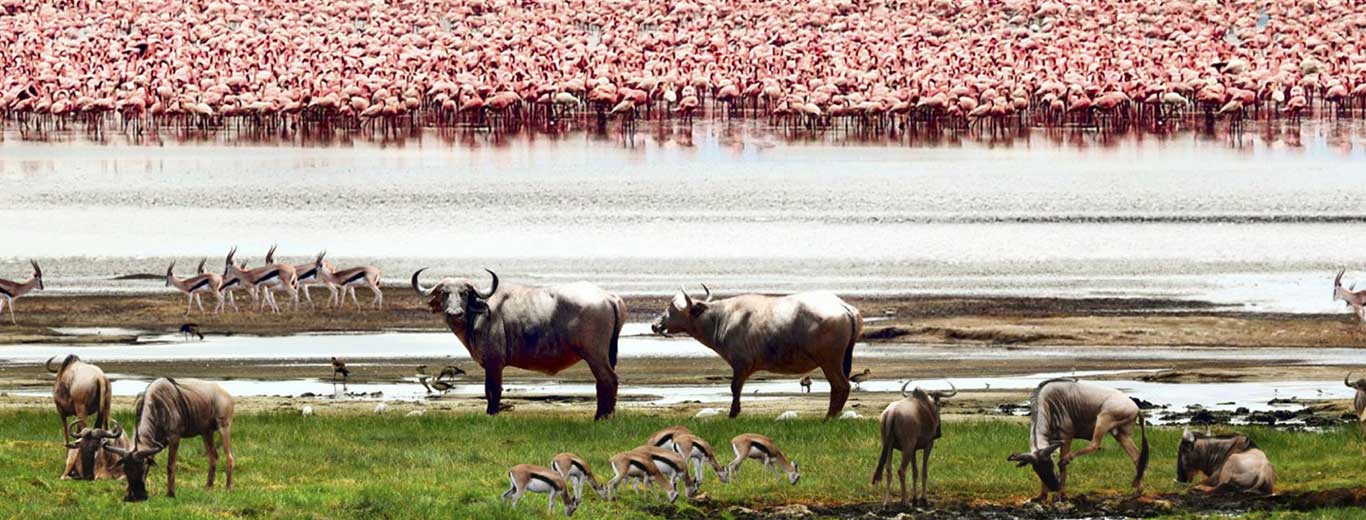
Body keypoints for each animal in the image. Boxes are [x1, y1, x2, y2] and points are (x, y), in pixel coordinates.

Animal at [409, 267, 625, 417]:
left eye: (464, 293)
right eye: (444, 293)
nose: (454, 313)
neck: (480, 313)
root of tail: (608, 296)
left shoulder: (494, 363)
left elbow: (492, 390)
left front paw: (491, 413)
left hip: (595, 354)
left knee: (608, 380)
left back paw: (601, 417)